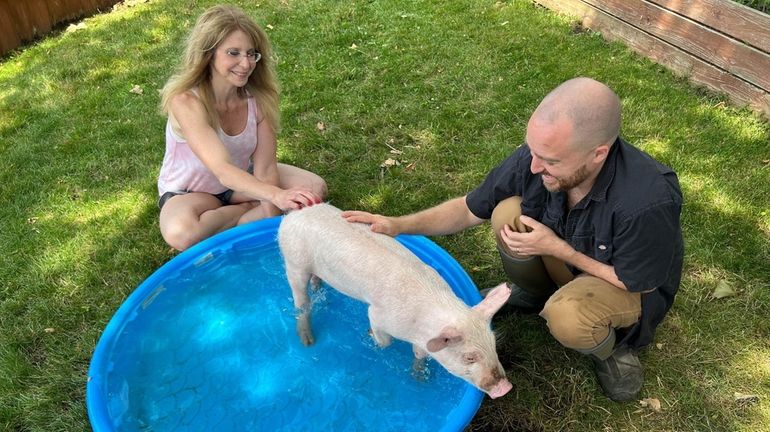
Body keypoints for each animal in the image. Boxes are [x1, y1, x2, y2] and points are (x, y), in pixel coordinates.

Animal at [276, 202, 510, 398]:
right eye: (470, 357)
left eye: (493, 344)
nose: (506, 387)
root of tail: (294, 214)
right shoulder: (378, 314)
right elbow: (385, 340)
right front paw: (369, 335)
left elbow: (419, 354)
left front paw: (419, 379)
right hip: (294, 261)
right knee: (301, 301)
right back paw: (307, 341)